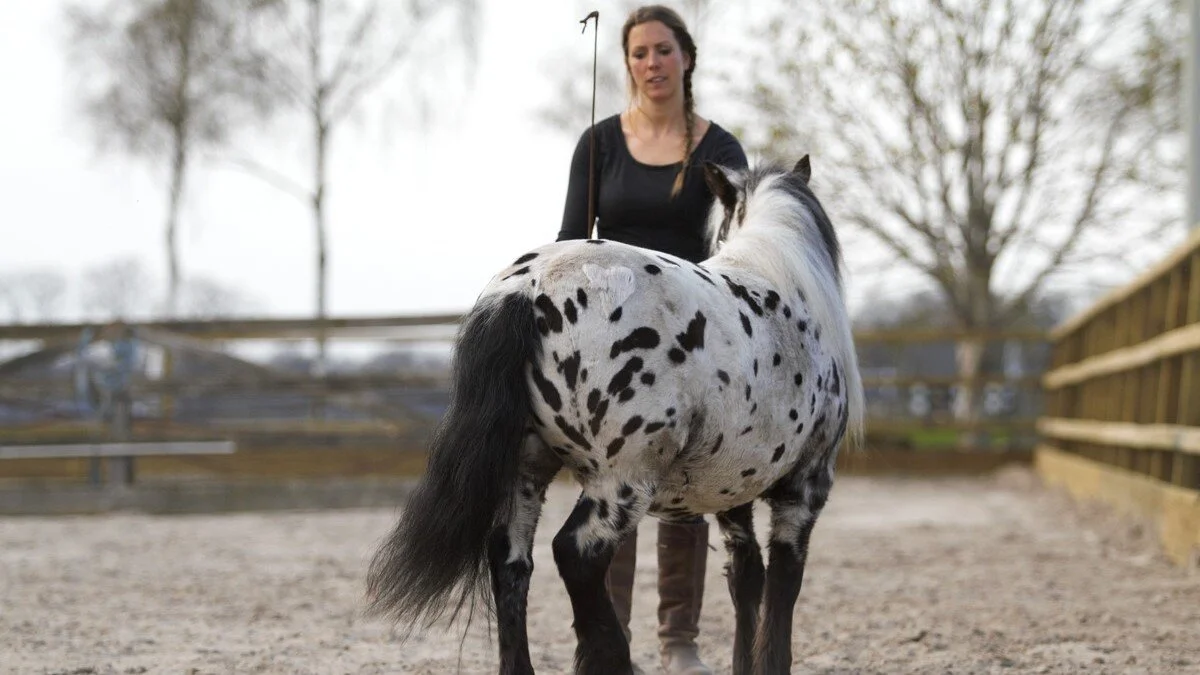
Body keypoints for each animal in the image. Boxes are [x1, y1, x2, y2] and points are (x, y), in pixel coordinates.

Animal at [366, 156, 864, 675]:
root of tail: (527, 287)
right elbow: (784, 583)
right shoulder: (806, 485)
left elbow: (746, 579)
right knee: (577, 555)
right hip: (622, 479)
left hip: (527, 471)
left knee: (510, 561)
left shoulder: (734, 490)